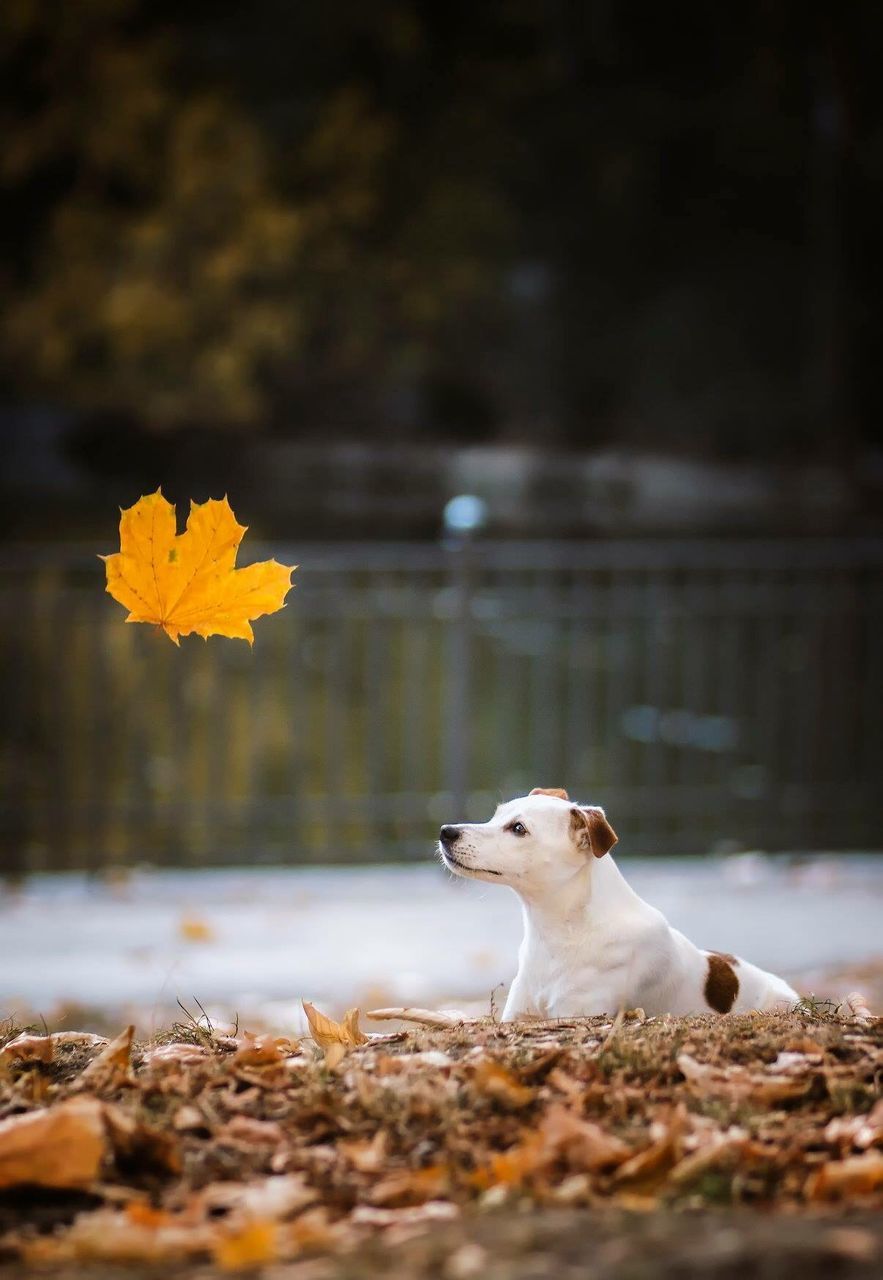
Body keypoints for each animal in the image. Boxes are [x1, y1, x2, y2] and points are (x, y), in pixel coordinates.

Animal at [437, 788, 798, 1018]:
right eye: (495, 815)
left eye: (518, 828)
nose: (446, 831)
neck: (558, 933)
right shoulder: (519, 1016)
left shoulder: (575, 1015)